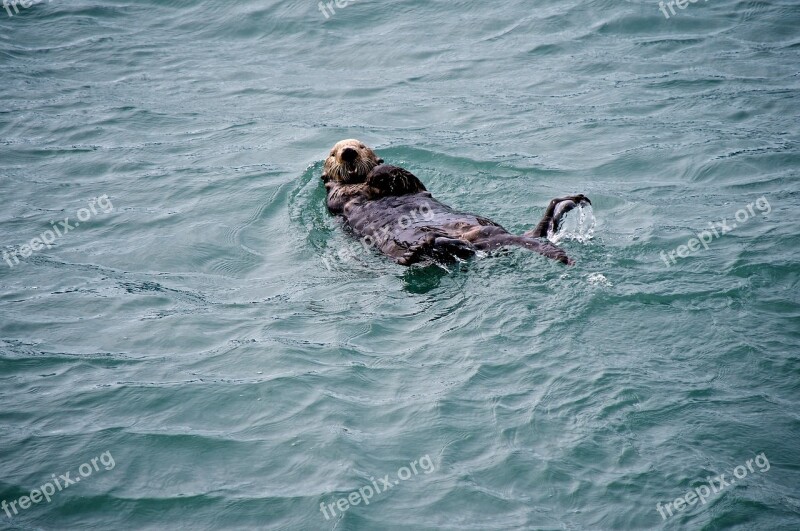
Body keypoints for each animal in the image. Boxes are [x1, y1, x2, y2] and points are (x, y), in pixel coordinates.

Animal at [322, 140, 592, 268]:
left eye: (361, 146)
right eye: (333, 153)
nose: (348, 152)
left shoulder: (416, 186)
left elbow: (410, 181)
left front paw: (378, 172)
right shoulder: (336, 199)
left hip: (484, 226)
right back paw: (420, 250)